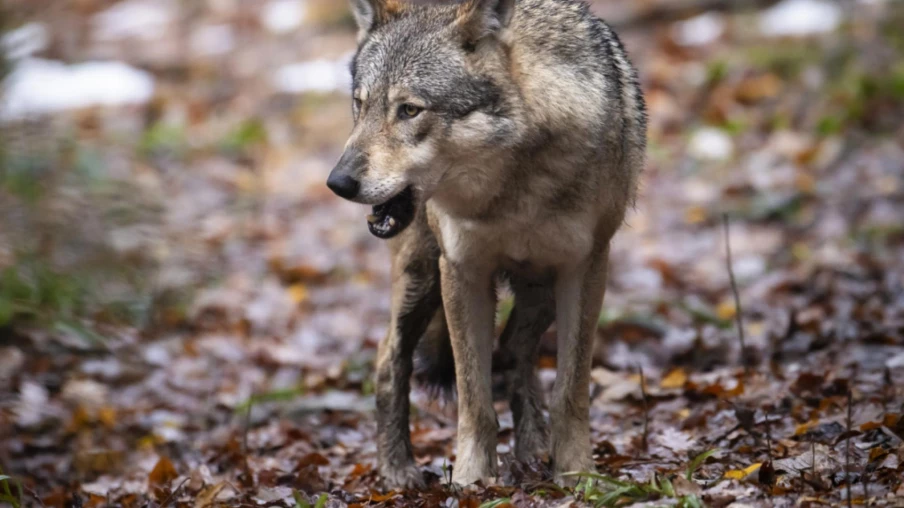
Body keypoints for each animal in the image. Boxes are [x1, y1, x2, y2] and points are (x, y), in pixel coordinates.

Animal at [326, 0, 646, 489]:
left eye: (409, 110)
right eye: (360, 106)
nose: (338, 183)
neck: (512, 190)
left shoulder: (585, 267)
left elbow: (571, 390)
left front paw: (576, 474)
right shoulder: (462, 270)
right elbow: (473, 397)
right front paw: (471, 481)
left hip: (540, 290)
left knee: (514, 350)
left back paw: (533, 448)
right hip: (422, 278)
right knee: (389, 358)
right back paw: (397, 470)